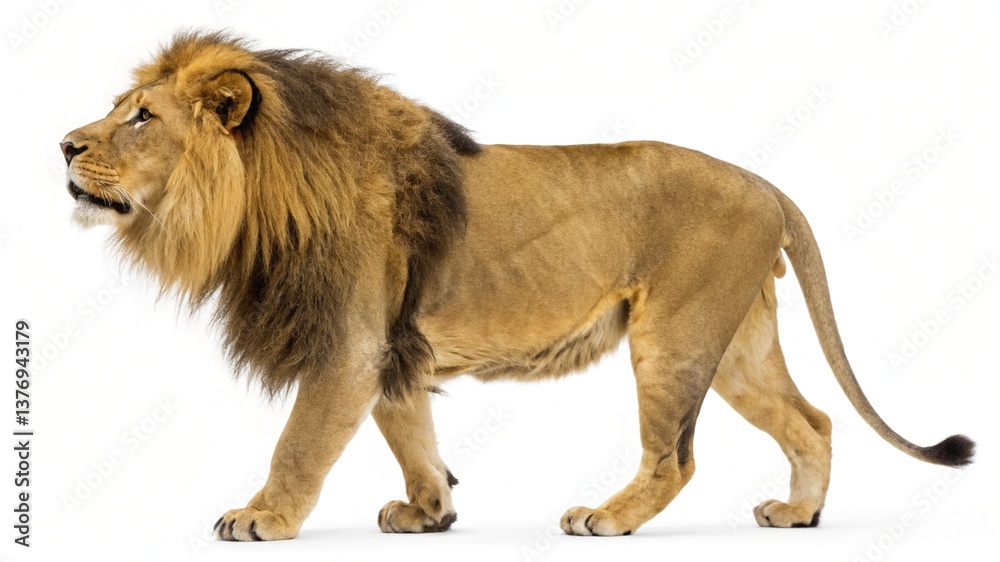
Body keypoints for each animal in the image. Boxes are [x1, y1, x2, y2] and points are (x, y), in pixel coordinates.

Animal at [60, 32, 974, 540]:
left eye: (141, 117)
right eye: (120, 106)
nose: (64, 144)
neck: (256, 199)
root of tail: (766, 183)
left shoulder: (348, 347)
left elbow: (301, 443)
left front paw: (263, 517)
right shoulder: (391, 349)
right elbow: (410, 432)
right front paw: (430, 513)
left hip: (674, 337)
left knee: (676, 457)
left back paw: (607, 518)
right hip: (740, 340)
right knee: (813, 421)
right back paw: (797, 514)